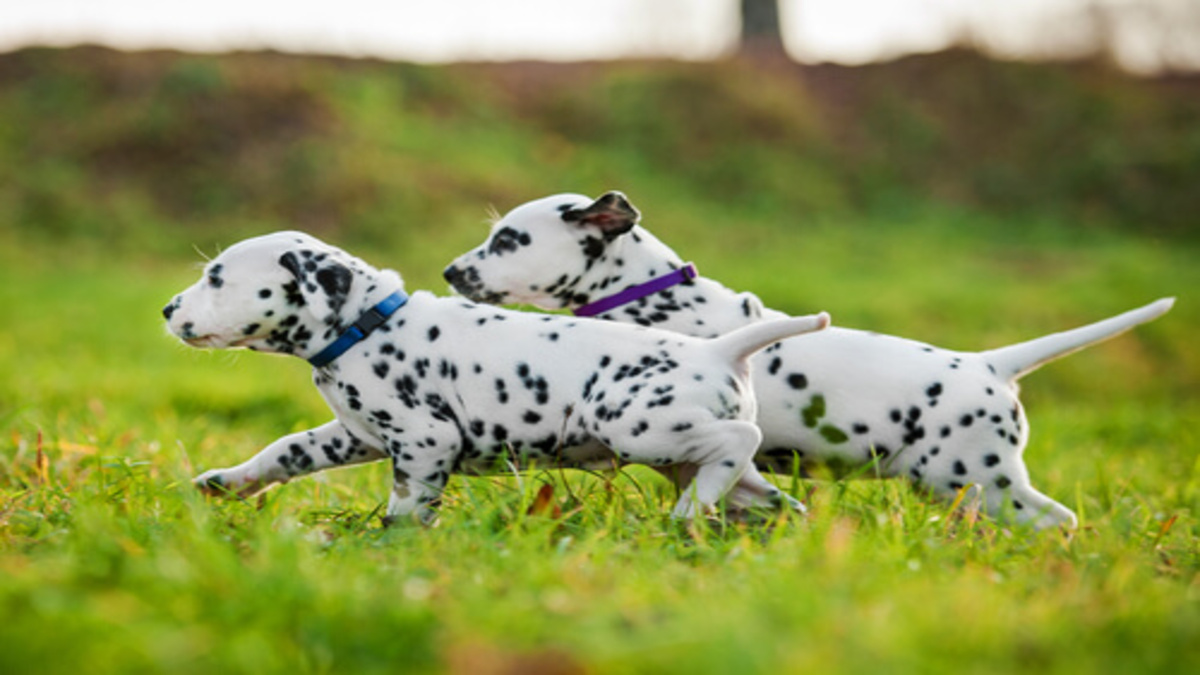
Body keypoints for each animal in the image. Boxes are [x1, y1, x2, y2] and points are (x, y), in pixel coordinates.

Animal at [162, 229, 835, 521]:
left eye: (216, 278)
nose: (168, 310)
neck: (370, 323)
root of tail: (720, 351)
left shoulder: (424, 440)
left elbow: (407, 505)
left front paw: (391, 545)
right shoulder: (352, 435)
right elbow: (285, 450)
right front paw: (227, 484)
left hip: (640, 427)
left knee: (739, 441)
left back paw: (690, 513)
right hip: (688, 457)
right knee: (765, 491)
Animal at [446, 192, 1176, 528]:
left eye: (508, 240)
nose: (452, 271)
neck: (652, 299)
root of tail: (990, 365)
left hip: (979, 478)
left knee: (1060, 520)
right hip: (963, 486)